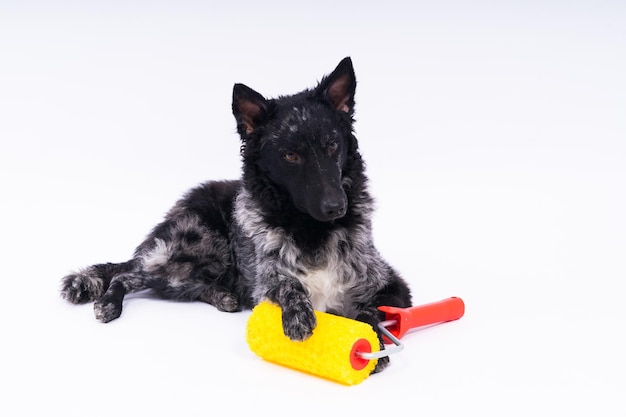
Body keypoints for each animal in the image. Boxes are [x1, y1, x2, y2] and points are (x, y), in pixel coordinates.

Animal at [58, 57, 410, 370]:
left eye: (332, 145)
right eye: (290, 155)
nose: (336, 206)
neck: (311, 229)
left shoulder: (389, 286)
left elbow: (372, 311)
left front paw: (374, 340)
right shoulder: (263, 281)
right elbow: (285, 283)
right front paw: (298, 313)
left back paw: (223, 296)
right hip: (198, 250)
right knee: (128, 274)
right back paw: (109, 302)